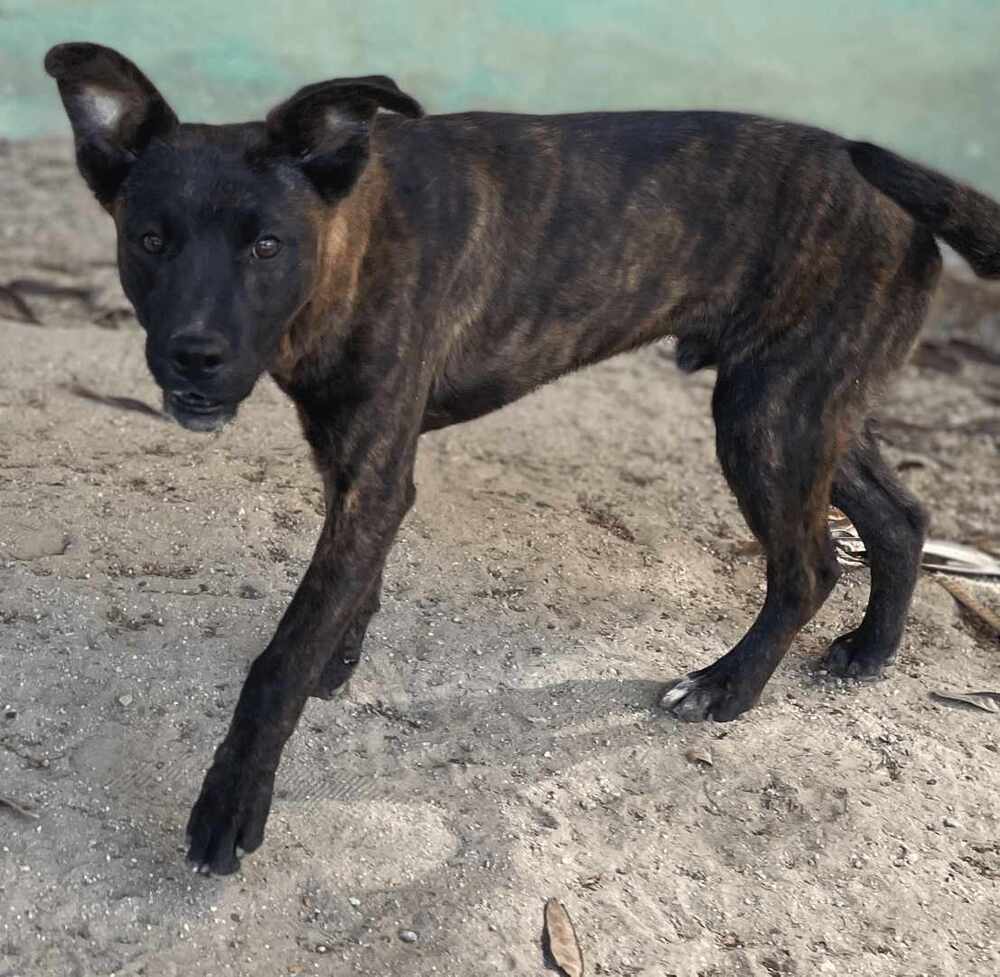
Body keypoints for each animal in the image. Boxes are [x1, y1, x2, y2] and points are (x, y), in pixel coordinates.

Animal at [47, 42, 1000, 872]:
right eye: (151, 240)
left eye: (267, 244)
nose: (194, 355)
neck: (351, 237)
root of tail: (891, 188)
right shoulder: (357, 467)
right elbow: (352, 590)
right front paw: (339, 659)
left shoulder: (373, 472)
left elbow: (278, 661)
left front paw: (232, 803)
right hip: (807, 407)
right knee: (901, 517)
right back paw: (871, 652)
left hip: (766, 416)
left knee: (809, 567)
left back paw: (727, 688)